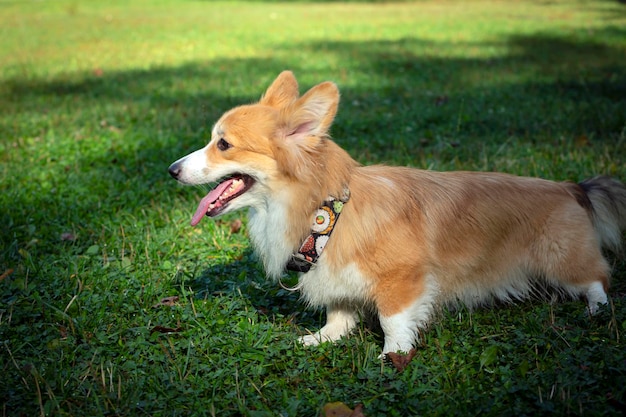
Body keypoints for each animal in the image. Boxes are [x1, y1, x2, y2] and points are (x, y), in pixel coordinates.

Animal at [167, 70, 624, 354]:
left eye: (223, 144)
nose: (171, 170)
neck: (326, 211)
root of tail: (570, 187)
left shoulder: (404, 279)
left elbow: (392, 320)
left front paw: (392, 356)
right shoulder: (336, 277)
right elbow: (338, 314)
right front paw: (323, 338)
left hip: (563, 259)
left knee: (597, 280)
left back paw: (596, 312)